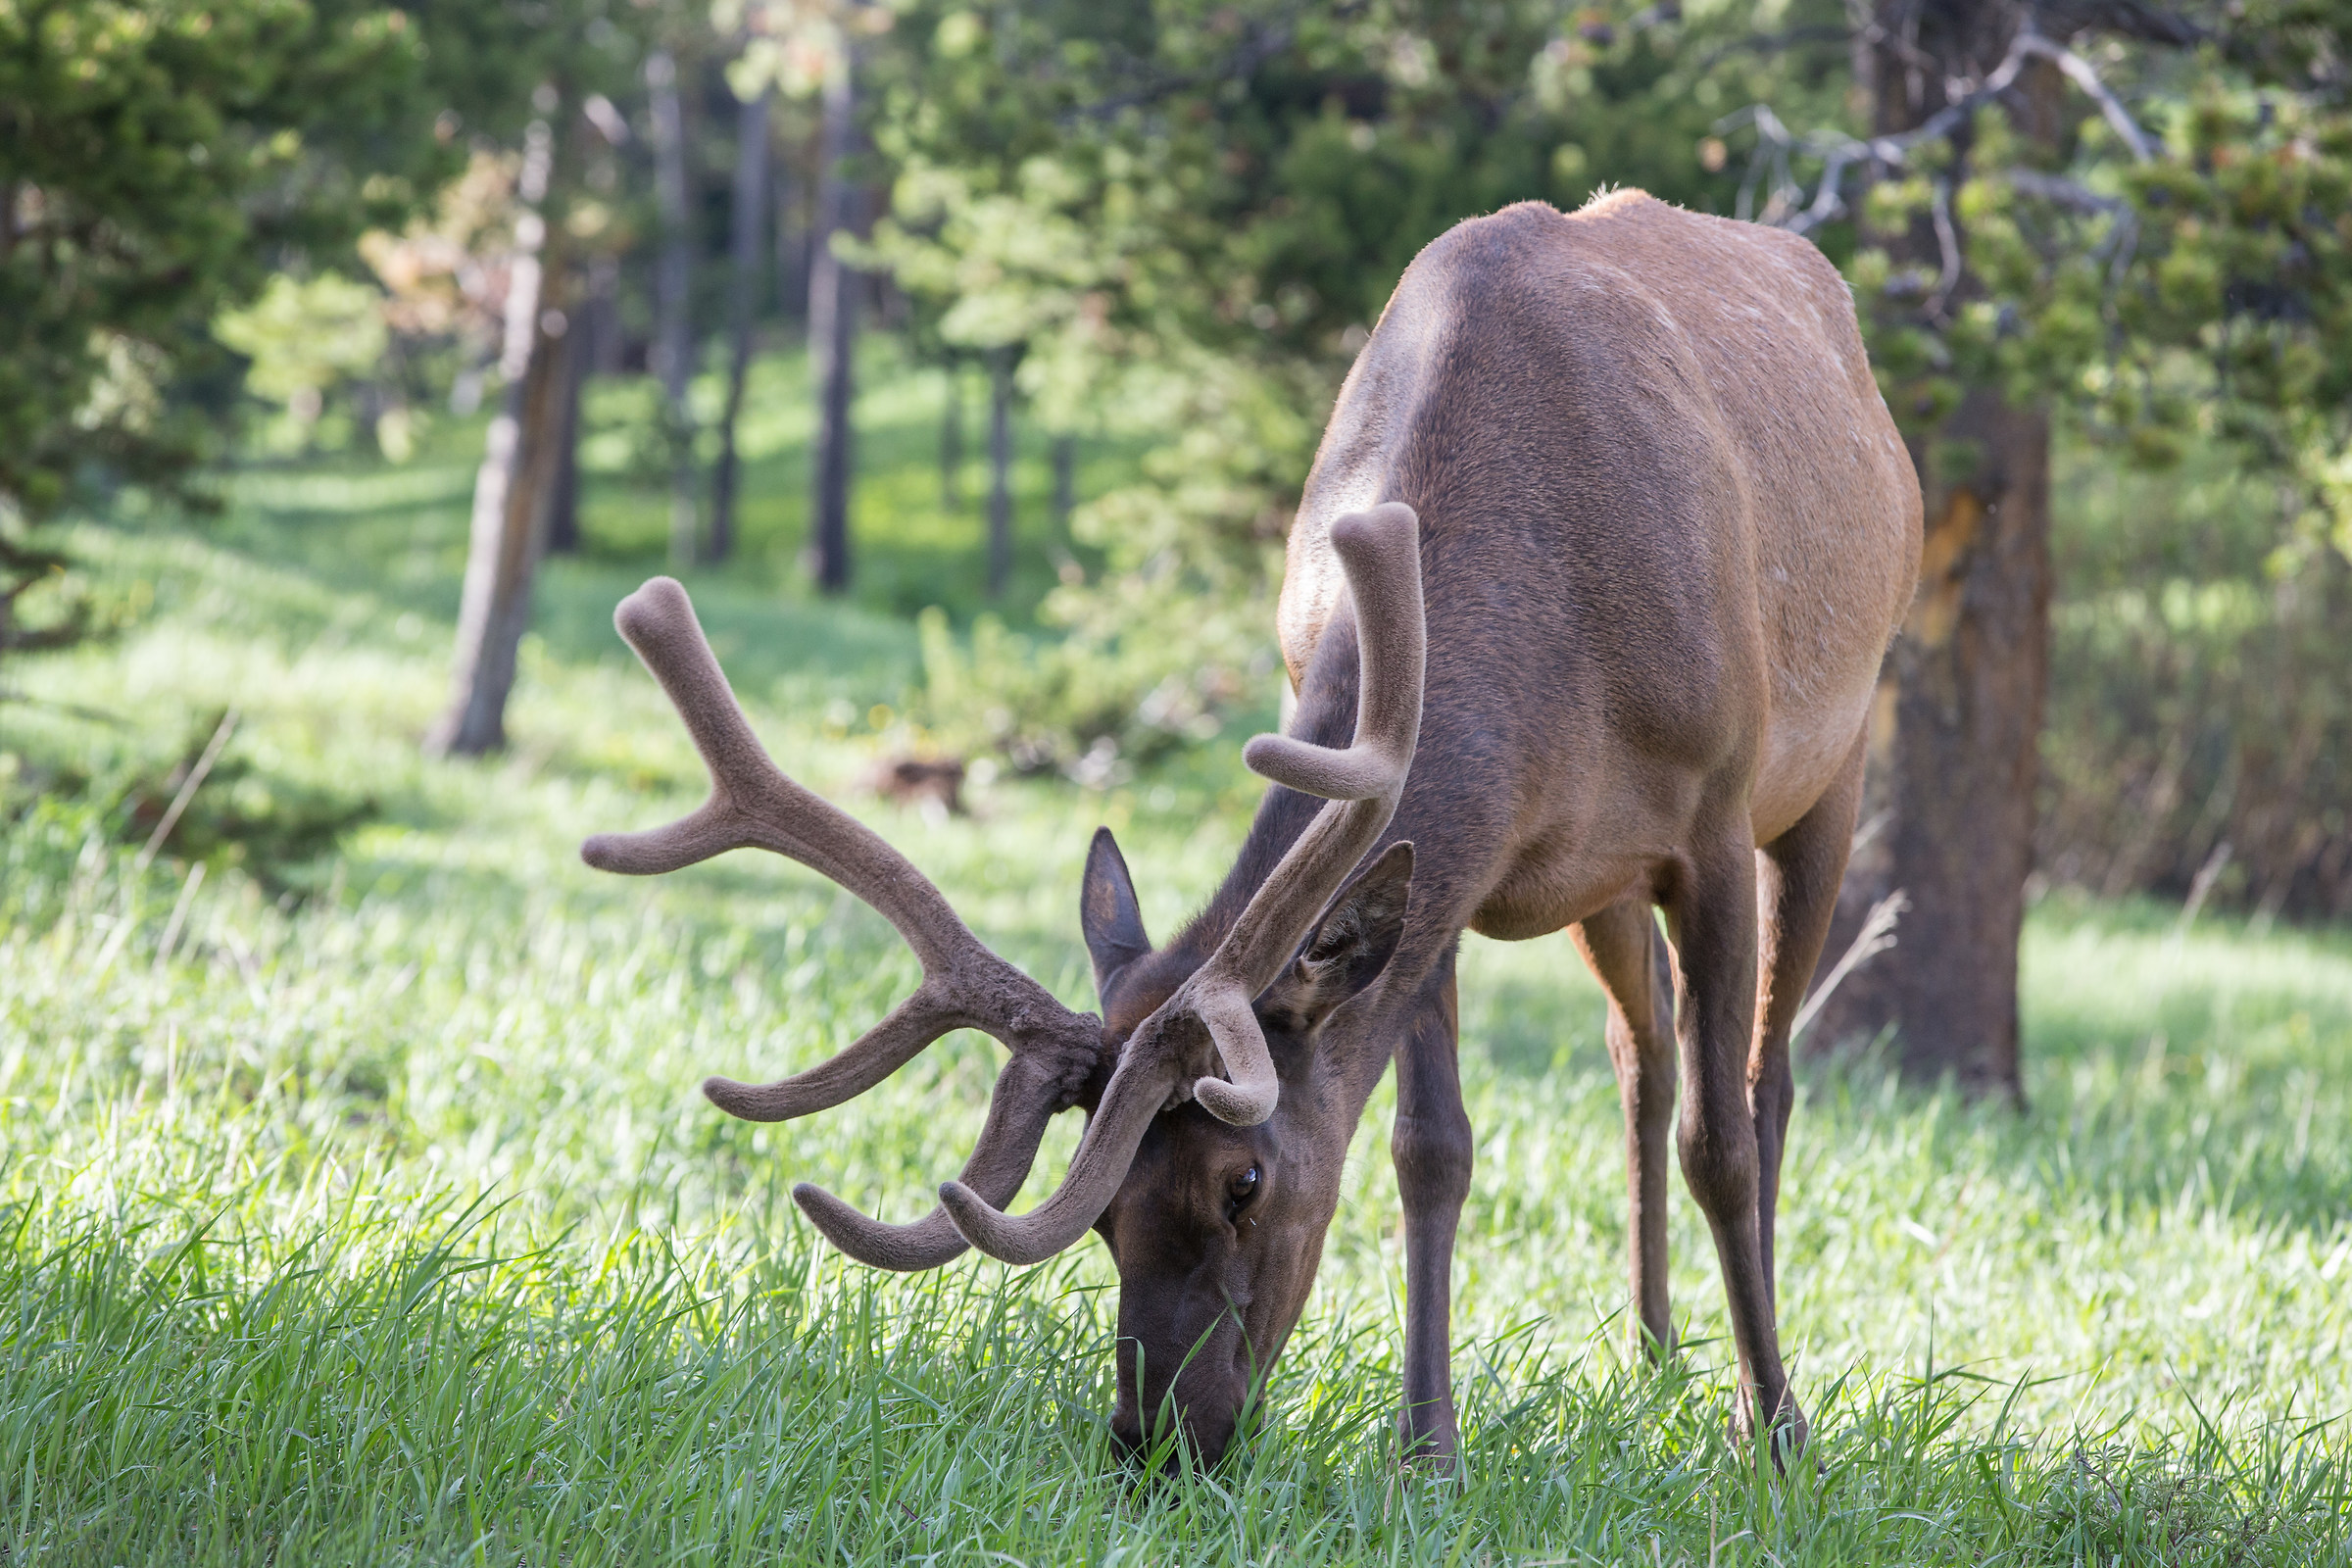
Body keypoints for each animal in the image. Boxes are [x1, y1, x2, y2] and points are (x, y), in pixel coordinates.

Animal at [583, 190, 1923, 1471]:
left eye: (1244, 1180)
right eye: (1105, 1214)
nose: (1159, 1442)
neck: (1559, 654)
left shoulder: (1711, 822)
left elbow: (1723, 1140)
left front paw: (1776, 1434)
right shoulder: (1449, 880)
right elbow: (1430, 1150)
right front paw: (1426, 1450)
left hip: (1830, 772)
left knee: (1763, 1080)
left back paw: (1742, 1379)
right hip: (1600, 886)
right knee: (1637, 1057)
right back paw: (1650, 1353)